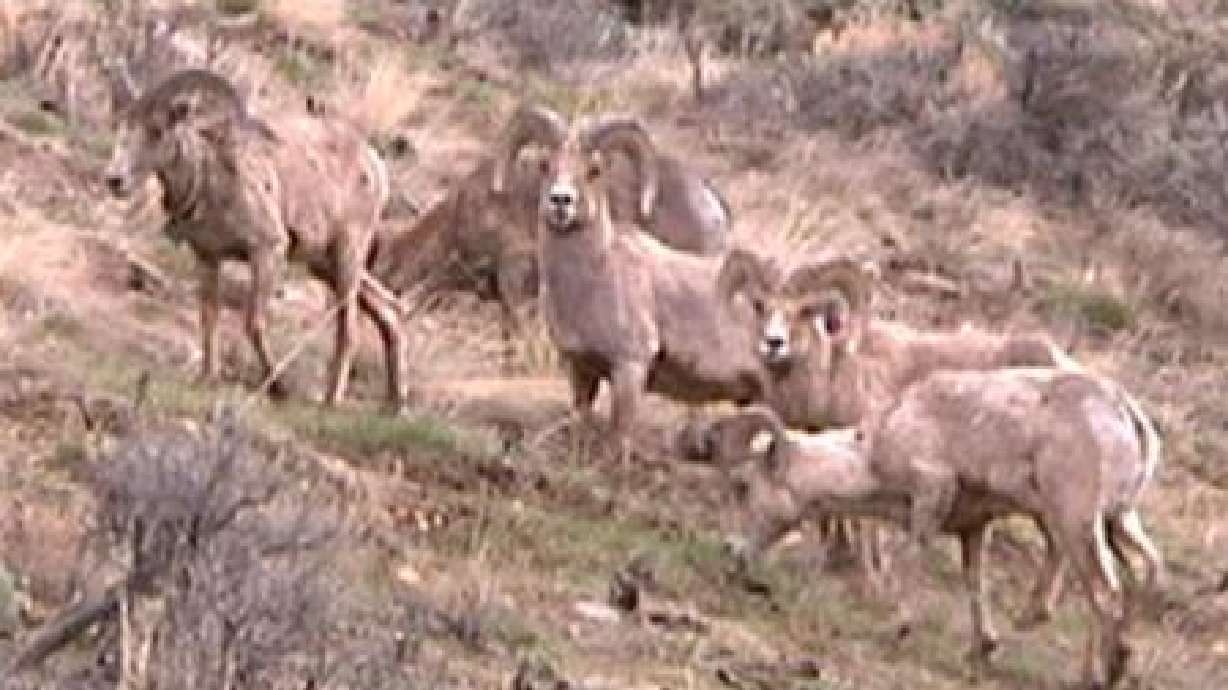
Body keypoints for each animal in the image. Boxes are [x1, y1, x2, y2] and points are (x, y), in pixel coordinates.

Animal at [102, 68, 409, 411]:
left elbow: (254, 322)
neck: (212, 185)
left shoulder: (266, 252)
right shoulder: (207, 258)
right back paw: (394, 404)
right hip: (323, 264)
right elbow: (209, 316)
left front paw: (278, 388)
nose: (115, 180)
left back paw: (331, 401)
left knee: (349, 329)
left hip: (347, 256)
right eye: (122, 126)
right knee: (390, 308)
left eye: (157, 130)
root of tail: (374, 165)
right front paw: (207, 377)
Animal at [495, 104, 766, 461]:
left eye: (594, 170)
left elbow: (618, 443)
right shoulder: (582, 371)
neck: (589, 284)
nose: (560, 201)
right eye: (545, 165)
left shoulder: (629, 369)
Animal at [695, 368, 1164, 688]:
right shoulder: (973, 529)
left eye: (743, 485)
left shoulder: (930, 493)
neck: (871, 452)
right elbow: (974, 582)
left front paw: (898, 628)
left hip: (1077, 522)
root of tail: (1127, 416)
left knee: (1105, 594)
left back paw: (1097, 675)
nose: (731, 552)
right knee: (1142, 571)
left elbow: (912, 560)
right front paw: (982, 649)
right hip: (1116, 521)